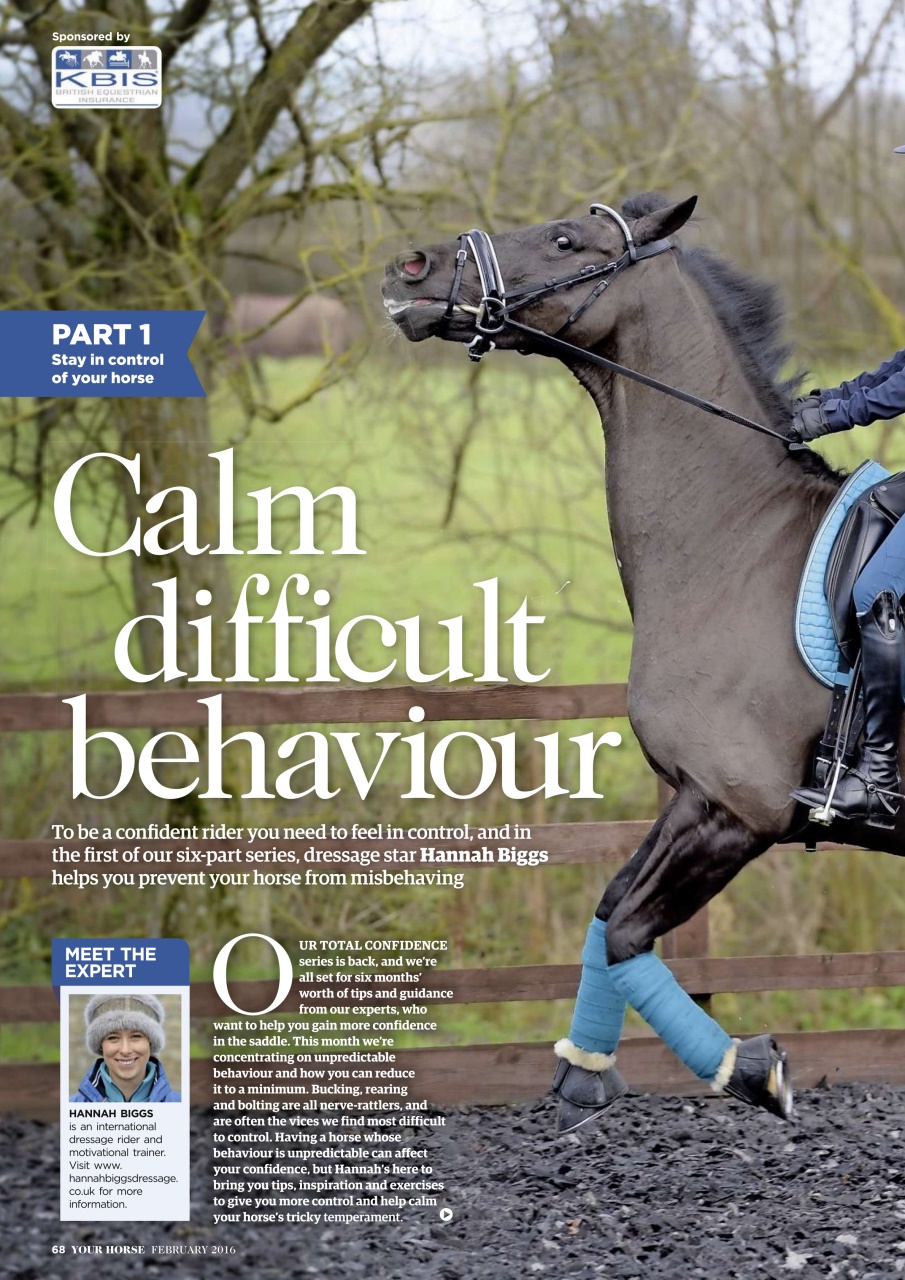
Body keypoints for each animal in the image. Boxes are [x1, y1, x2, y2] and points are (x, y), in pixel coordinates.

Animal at [381, 192, 905, 1130]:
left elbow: (627, 929)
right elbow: (607, 911)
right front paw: (584, 1068)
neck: (736, 542)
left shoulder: (735, 810)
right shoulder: (691, 795)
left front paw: (748, 1068)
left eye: (563, 239)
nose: (411, 267)